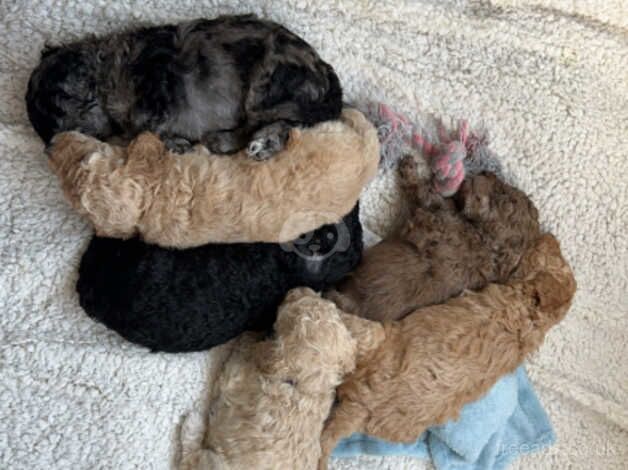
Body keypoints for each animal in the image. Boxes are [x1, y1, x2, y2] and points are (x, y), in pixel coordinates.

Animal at [25, 14, 344, 160]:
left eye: (61, 123)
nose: (49, 150)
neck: (109, 72)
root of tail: (323, 70)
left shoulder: (155, 100)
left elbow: (141, 132)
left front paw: (176, 144)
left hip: (267, 84)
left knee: (283, 123)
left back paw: (254, 142)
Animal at [47, 109, 378, 250]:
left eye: (83, 154)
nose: (50, 143)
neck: (146, 203)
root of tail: (366, 161)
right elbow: (147, 144)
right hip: (333, 136)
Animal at [179, 286, 360, 470]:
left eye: (290, 310)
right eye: (329, 305)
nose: (297, 288)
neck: (306, 385)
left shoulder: (234, 375)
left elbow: (245, 349)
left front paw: (249, 337)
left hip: (214, 461)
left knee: (189, 458)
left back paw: (192, 424)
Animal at [328, 156, 540, 322]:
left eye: (501, 192)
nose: (486, 171)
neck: (485, 240)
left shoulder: (429, 216)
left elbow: (423, 191)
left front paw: (408, 166)